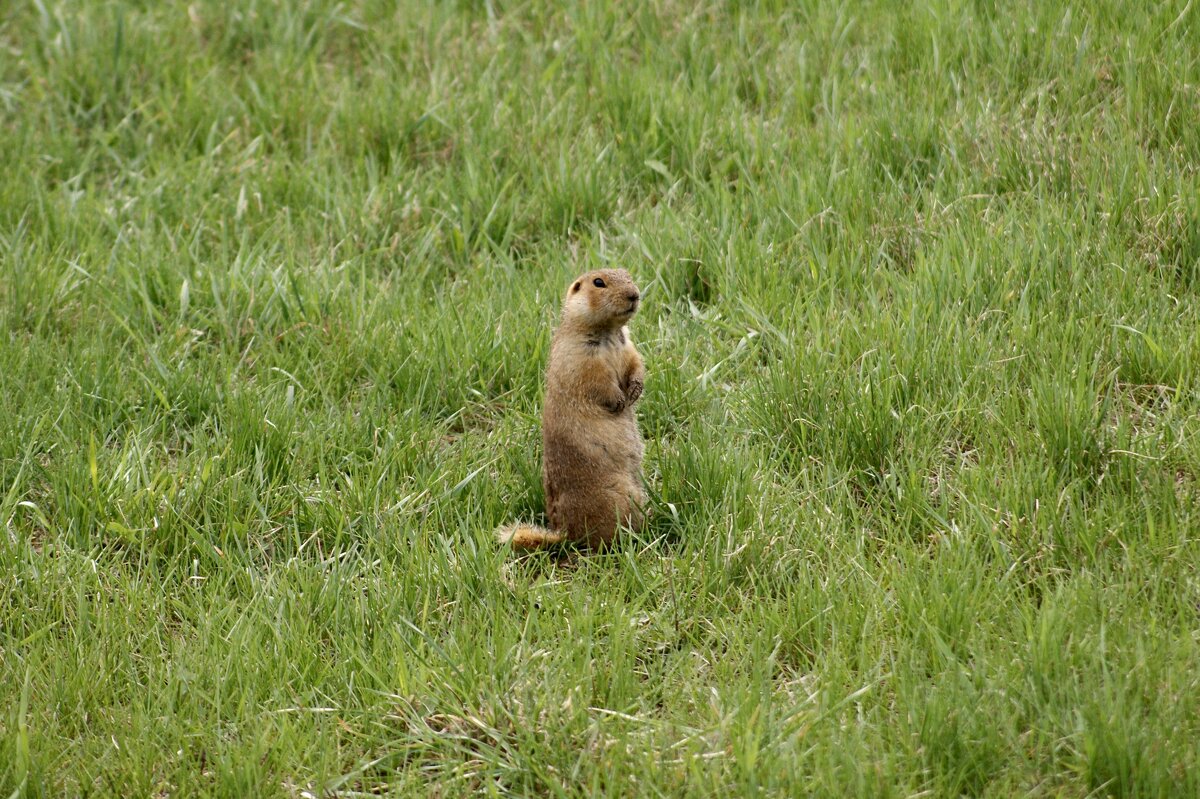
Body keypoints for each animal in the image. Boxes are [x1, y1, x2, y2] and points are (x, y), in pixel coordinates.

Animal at [496, 267, 648, 547]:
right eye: (598, 282)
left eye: (627, 275)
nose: (634, 294)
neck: (609, 333)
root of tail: (565, 532)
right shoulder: (581, 356)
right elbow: (596, 379)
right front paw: (619, 400)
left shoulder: (628, 344)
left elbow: (635, 362)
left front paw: (635, 390)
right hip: (619, 495)